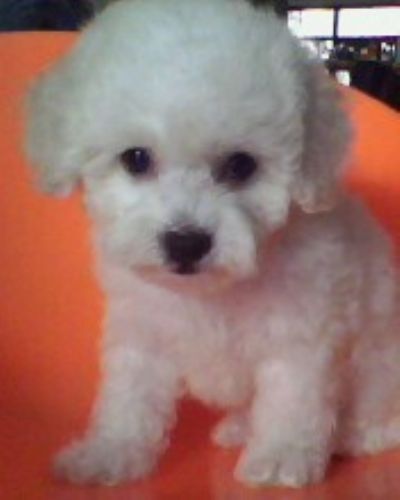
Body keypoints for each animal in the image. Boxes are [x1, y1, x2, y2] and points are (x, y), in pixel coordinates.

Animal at [25, 0, 400, 488]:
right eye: (136, 159)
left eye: (241, 165)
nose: (186, 242)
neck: (209, 292)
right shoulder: (141, 326)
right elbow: (130, 396)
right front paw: (110, 452)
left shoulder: (302, 331)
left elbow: (292, 394)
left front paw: (281, 457)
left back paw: (355, 435)